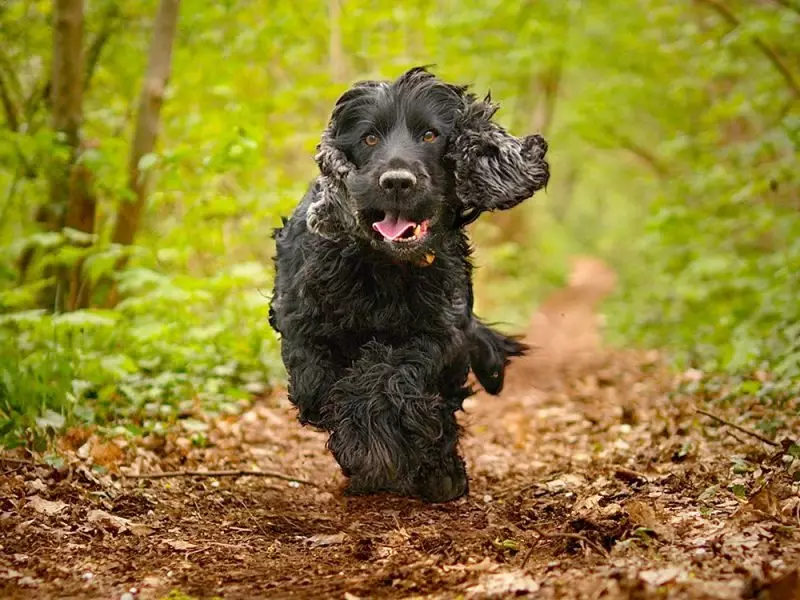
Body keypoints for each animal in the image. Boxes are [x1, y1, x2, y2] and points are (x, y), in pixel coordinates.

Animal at [268, 67, 552, 502]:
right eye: (369, 138)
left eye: (431, 135)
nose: (397, 182)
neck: (386, 267)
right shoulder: (304, 327)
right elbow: (317, 385)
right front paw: (367, 447)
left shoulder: (440, 333)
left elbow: (392, 373)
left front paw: (381, 442)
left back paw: (440, 474)